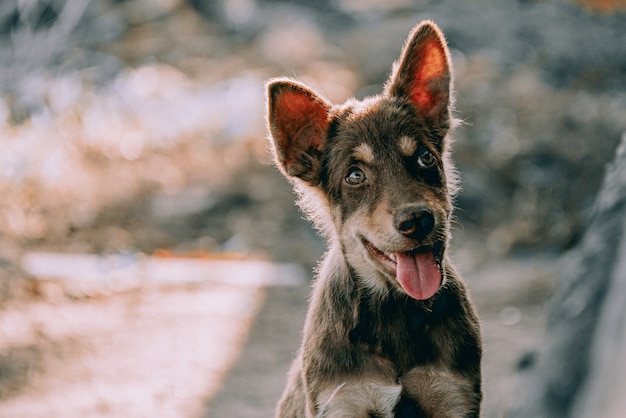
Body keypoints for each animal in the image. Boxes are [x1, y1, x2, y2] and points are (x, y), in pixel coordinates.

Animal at [266, 20, 480, 418]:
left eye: (426, 158)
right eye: (354, 176)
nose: (418, 221)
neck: (395, 310)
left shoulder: (453, 396)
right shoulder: (343, 401)